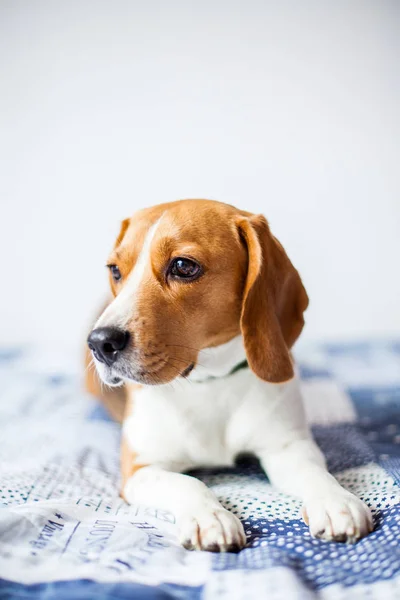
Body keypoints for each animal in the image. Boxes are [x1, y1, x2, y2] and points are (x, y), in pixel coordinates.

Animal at [86, 200, 374, 552]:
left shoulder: (288, 448)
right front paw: (210, 517)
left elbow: (316, 474)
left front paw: (336, 501)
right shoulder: (140, 469)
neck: (209, 382)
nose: (100, 342)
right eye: (115, 270)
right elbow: (188, 483)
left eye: (183, 266)